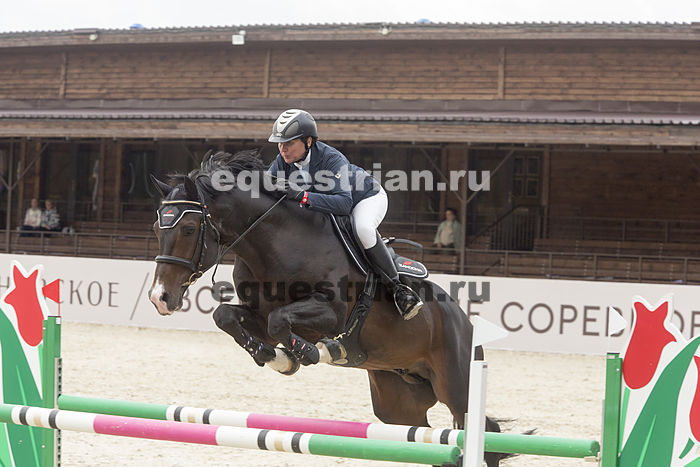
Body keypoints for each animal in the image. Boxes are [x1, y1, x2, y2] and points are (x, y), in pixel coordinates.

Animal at [148, 150, 507, 466]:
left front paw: (314, 352)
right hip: (399, 402)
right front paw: (275, 357)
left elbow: (282, 322)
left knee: (480, 431)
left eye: (189, 229)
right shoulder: (257, 316)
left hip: (457, 386)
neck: (276, 242)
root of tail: (466, 322)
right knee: (428, 441)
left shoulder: (331, 315)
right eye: (155, 229)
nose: (159, 297)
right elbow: (228, 317)